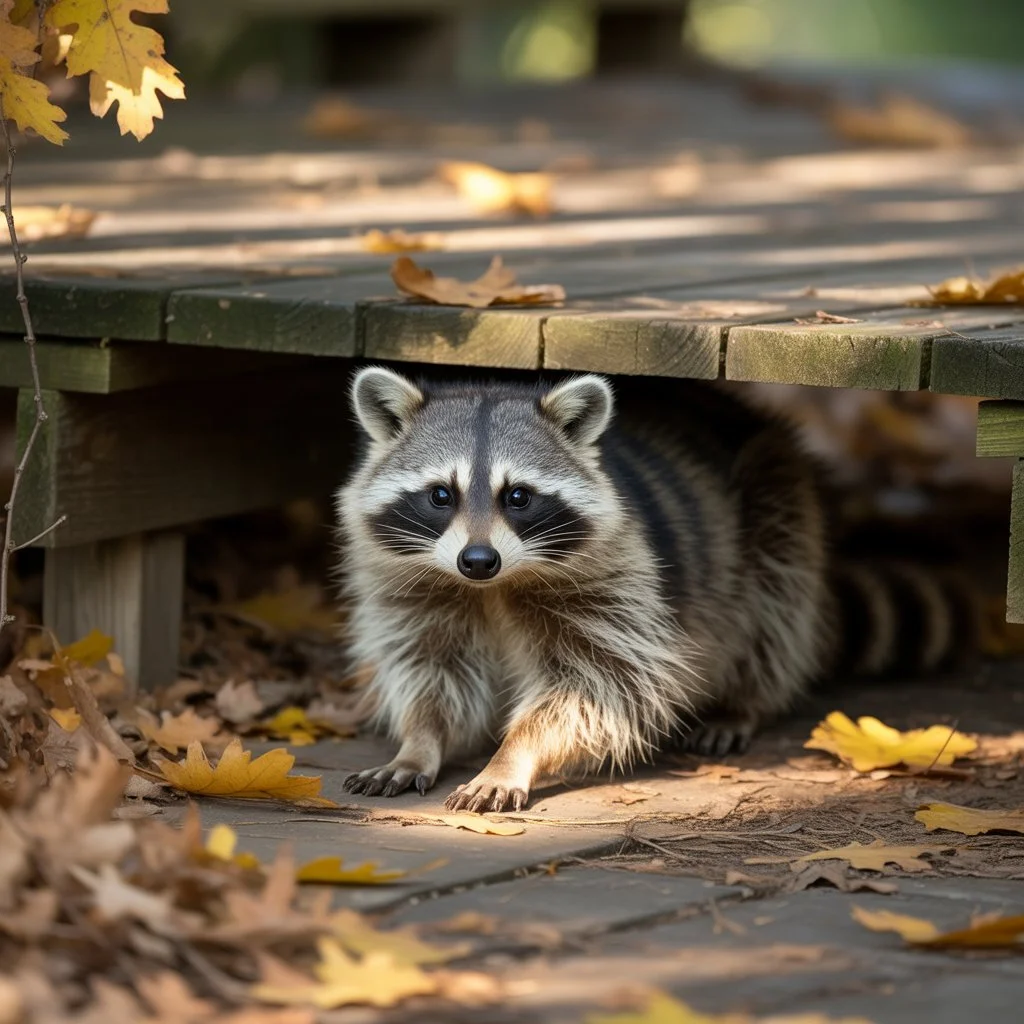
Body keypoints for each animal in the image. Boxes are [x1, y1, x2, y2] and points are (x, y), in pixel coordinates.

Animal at [338, 367, 978, 812]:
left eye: (517, 496)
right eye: (439, 495)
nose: (477, 560)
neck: (496, 587)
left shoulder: (616, 586)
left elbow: (595, 687)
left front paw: (512, 754)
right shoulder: (414, 587)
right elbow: (431, 668)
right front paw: (420, 739)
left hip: (775, 489)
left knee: (778, 595)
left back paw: (744, 700)